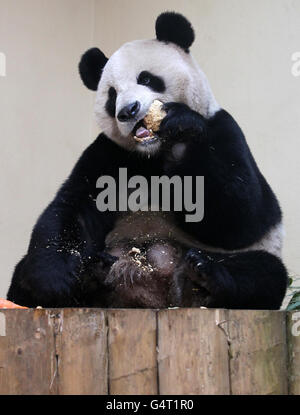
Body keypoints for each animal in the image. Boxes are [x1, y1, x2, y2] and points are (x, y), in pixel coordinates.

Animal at [7, 12, 288, 308]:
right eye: (112, 95)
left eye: (147, 78)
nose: (129, 111)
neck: (153, 152)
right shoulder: (109, 152)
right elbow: (74, 205)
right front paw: (55, 277)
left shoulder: (222, 129)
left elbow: (241, 214)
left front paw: (182, 126)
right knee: (23, 270)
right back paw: (89, 275)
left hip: (237, 258)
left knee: (263, 272)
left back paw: (202, 279)